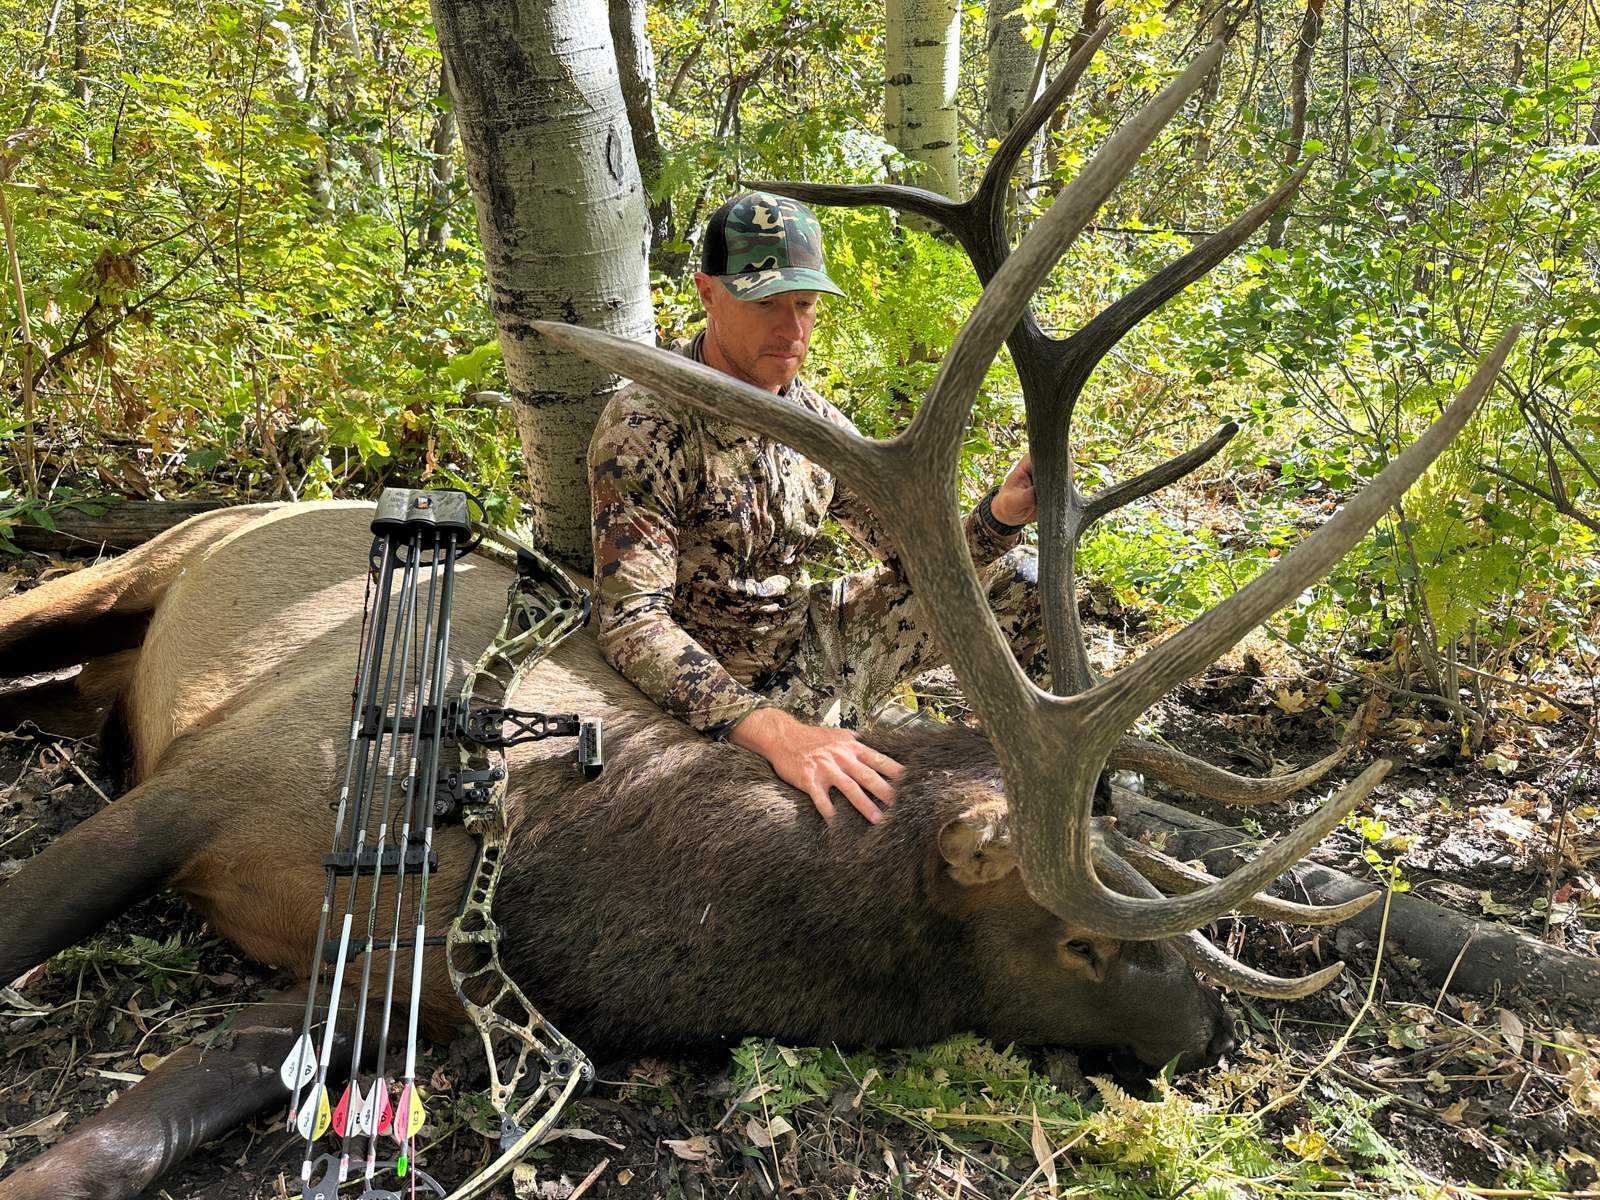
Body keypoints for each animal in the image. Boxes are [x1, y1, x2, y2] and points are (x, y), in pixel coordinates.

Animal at [0, 17, 1514, 1200]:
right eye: (1088, 939)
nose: (1213, 1035)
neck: (545, 875)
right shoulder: (207, 781)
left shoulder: (385, 990)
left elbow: (121, 1141)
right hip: (142, 564)